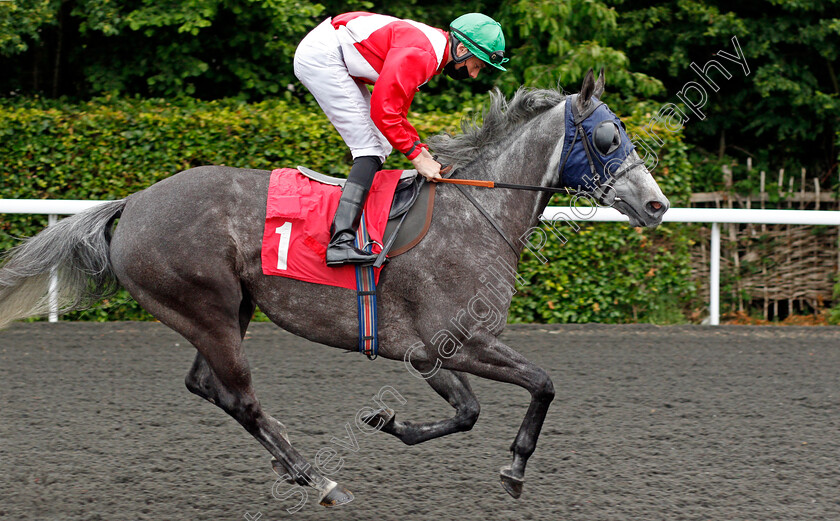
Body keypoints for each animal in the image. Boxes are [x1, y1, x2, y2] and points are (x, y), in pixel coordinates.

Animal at [0, 71, 668, 506]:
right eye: (609, 137)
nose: (657, 204)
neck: (476, 213)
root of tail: (134, 201)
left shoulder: (431, 352)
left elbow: (469, 411)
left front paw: (388, 421)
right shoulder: (452, 342)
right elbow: (540, 384)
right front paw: (515, 467)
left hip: (226, 310)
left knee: (207, 386)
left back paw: (294, 469)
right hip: (205, 308)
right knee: (239, 396)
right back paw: (319, 480)